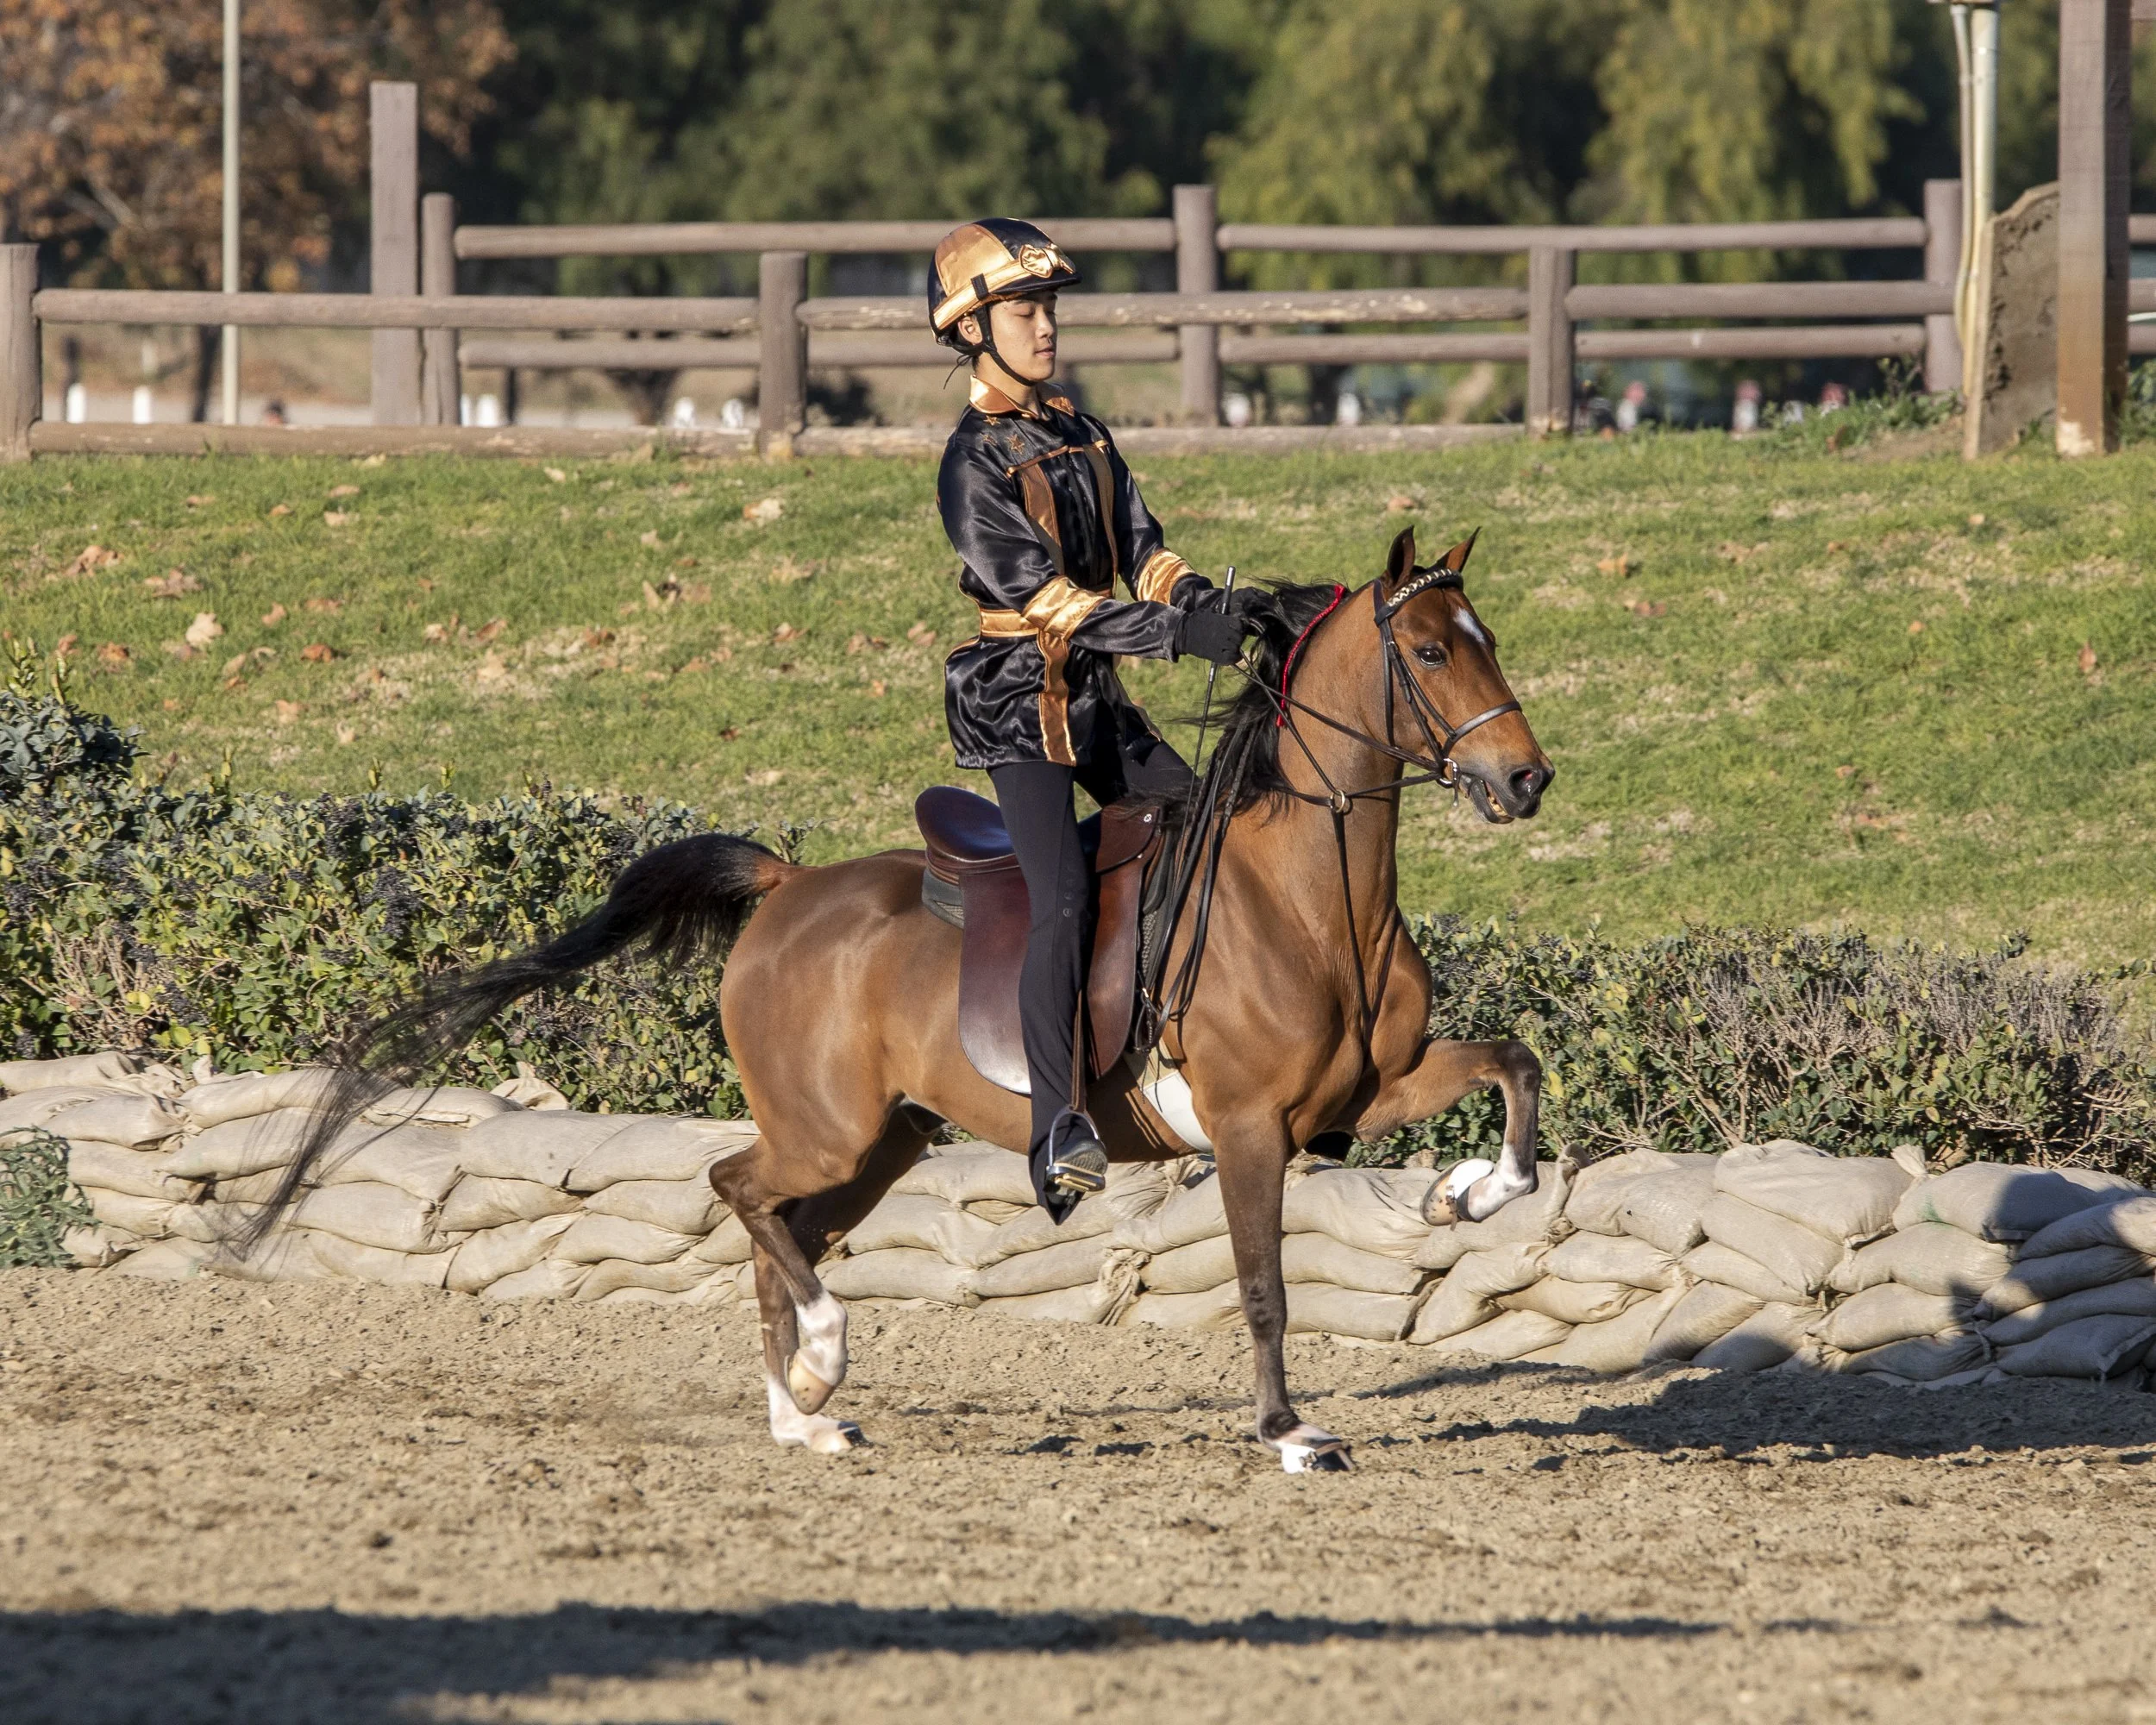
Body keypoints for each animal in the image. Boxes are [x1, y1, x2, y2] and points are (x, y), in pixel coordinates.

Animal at [264, 524, 1552, 1473]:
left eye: (1486, 639)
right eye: (1429, 654)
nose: (1526, 777)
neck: (1308, 897)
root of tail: (788, 886)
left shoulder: (1368, 1091)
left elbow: (1514, 1066)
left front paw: (1466, 1192)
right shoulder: (1246, 1130)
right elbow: (1266, 1288)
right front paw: (1290, 1433)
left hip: (880, 1140)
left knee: (778, 1233)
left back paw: (801, 1413)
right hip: (824, 1130)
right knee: (737, 1191)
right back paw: (822, 1365)